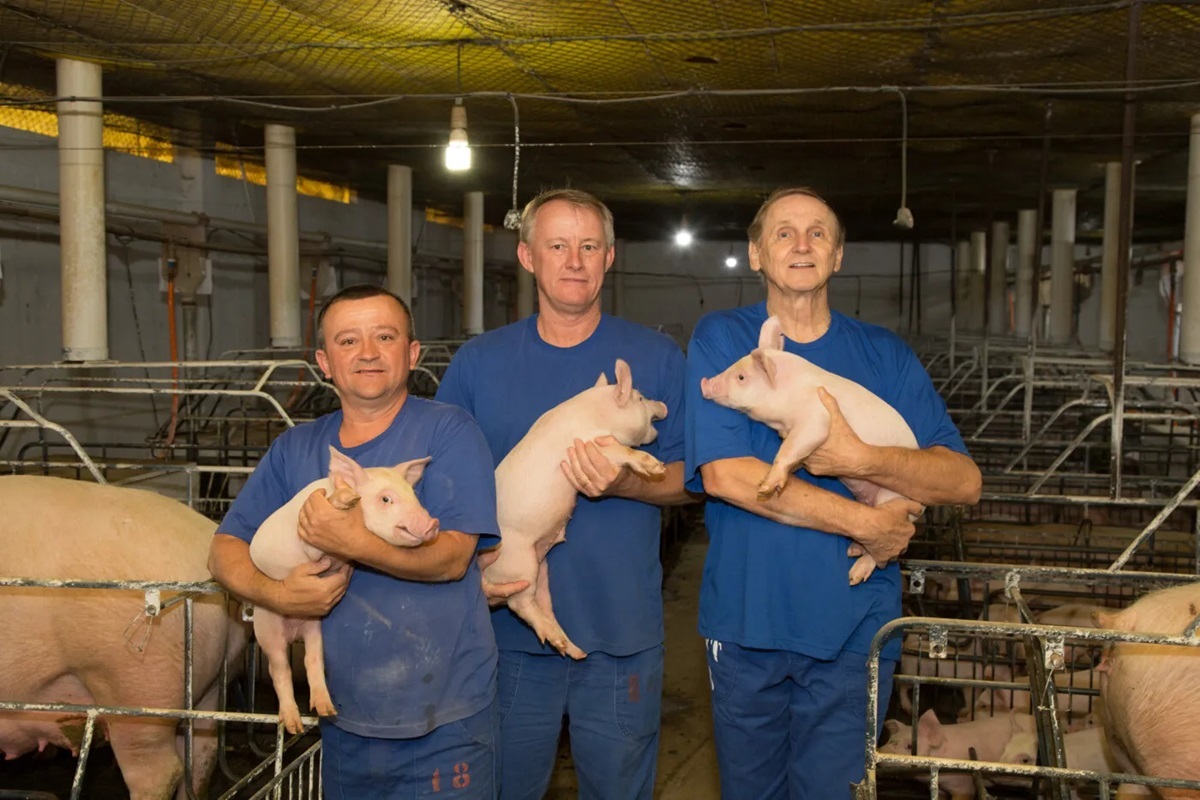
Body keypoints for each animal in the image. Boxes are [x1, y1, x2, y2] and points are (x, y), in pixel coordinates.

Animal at [249, 445, 439, 734]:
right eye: (386, 499)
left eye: (413, 495)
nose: (432, 523)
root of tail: (294, 632)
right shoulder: (308, 538)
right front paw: (347, 498)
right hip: (267, 625)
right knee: (278, 669)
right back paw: (295, 726)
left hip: (314, 627)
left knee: (312, 660)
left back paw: (326, 710)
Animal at [485, 358, 667, 660]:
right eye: (640, 398)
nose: (663, 406)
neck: (598, 415)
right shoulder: (591, 445)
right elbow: (623, 452)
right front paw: (656, 467)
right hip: (518, 563)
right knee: (519, 604)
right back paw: (561, 643)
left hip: (541, 566)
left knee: (543, 606)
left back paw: (574, 650)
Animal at [699, 315, 920, 585]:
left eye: (741, 377)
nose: (704, 382)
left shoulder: (817, 419)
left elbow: (790, 448)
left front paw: (765, 487)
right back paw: (854, 549)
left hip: (891, 500)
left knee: (879, 552)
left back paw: (853, 576)